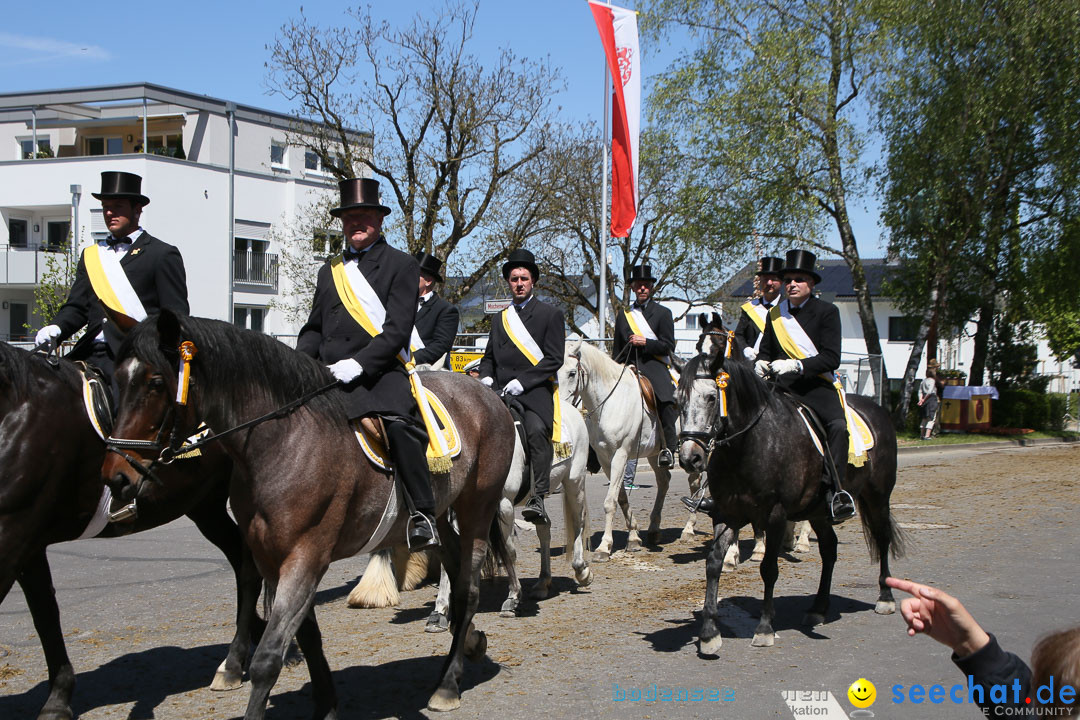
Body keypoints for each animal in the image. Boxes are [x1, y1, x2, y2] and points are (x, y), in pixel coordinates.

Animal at [0, 343, 261, 720]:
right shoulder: (28, 543)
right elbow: (44, 613)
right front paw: (58, 697)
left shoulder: (14, 534)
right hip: (205, 505)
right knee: (243, 562)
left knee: (250, 566)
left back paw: (236, 661)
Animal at [103, 313, 516, 716]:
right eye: (117, 379)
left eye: (156, 382)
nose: (116, 477)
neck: (284, 440)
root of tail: (487, 394)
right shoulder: (273, 559)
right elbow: (307, 636)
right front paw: (326, 705)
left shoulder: (305, 557)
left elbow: (268, 658)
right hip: (441, 516)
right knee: (457, 579)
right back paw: (468, 646)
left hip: (477, 507)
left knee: (470, 589)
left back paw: (448, 686)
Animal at [561, 338, 704, 561]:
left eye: (572, 373)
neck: (610, 402)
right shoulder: (605, 458)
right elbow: (620, 497)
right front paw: (634, 537)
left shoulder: (620, 454)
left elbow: (610, 501)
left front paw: (604, 547)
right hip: (655, 453)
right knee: (664, 482)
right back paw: (654, 529)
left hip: (694, 449)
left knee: (694, 482)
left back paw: (688, 530)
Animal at [673, 313, 902, 651]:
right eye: (678, 401)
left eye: (712, 397)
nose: (691, 457)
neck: (748, 444)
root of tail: (878, 410)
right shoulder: (726, 512)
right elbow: (713, 562)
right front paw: (709, 633)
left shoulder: (776, 515)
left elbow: (768, 568)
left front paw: (765, 628)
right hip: (820, 511)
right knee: (829, 549)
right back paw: (819, 608)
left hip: (877, 496)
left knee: (882, 536)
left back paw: (885, 597)